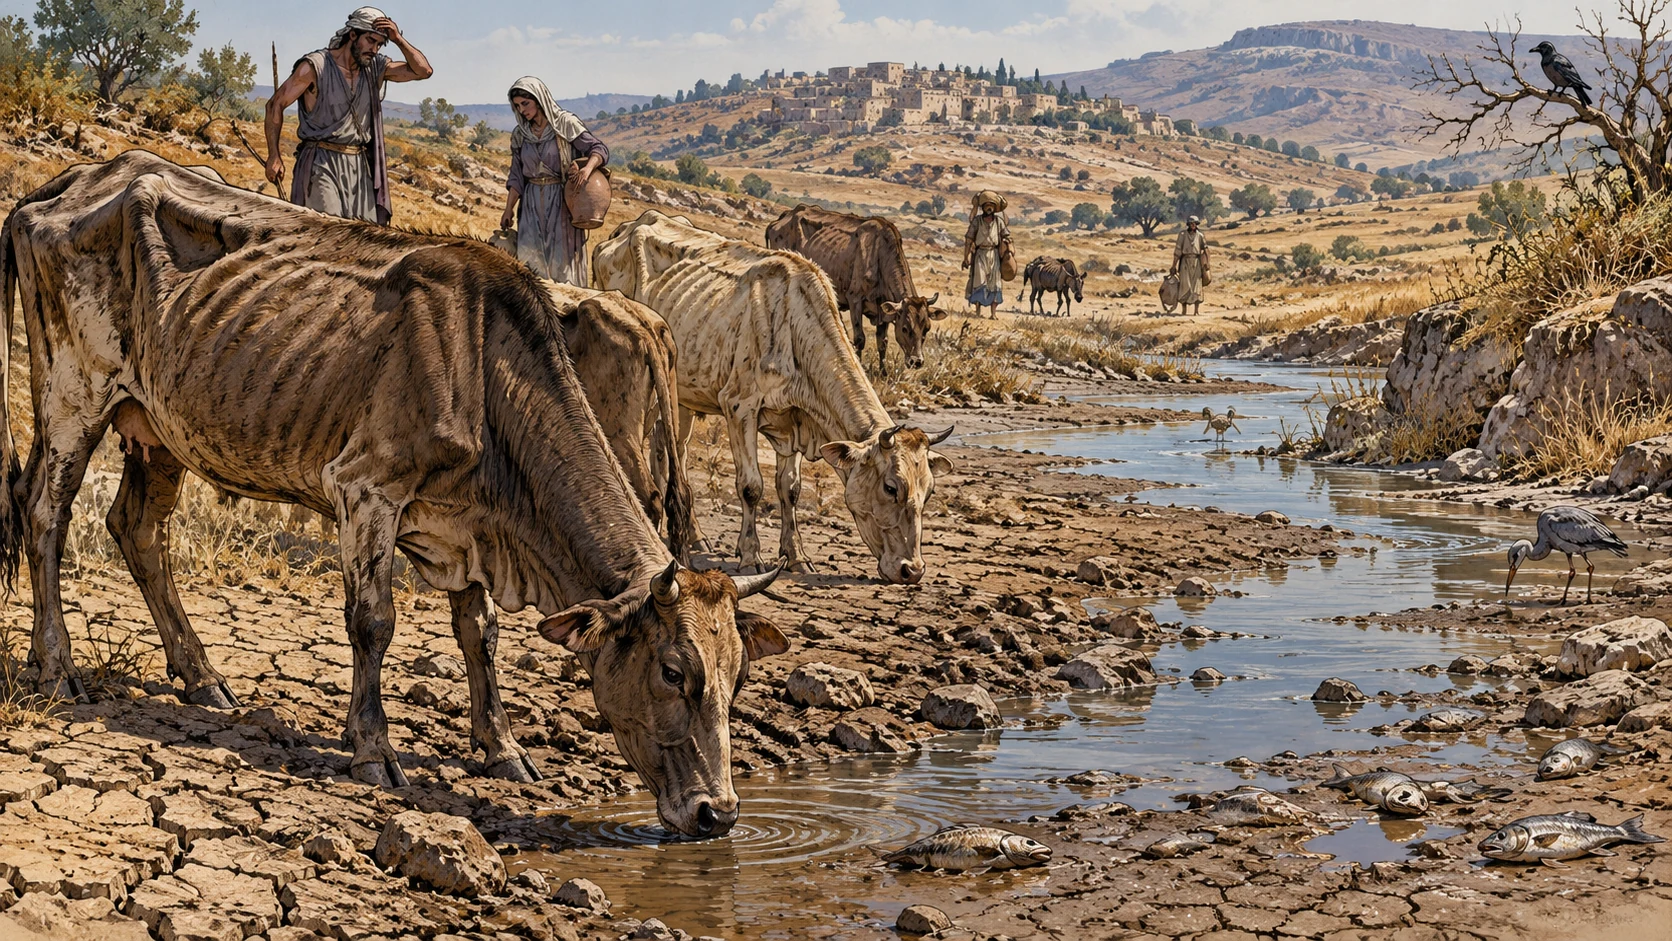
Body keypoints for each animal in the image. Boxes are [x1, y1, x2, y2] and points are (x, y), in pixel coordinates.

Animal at [764, 205, 945, 371]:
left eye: (927, 328)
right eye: (905, 328)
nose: (916, 361)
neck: (880, 255)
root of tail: (784, 217)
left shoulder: (883, 309)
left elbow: (882, 341)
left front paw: (883, 372)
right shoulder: (855, 300)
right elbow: (860, 339)